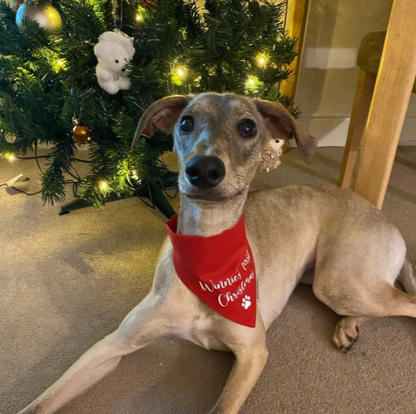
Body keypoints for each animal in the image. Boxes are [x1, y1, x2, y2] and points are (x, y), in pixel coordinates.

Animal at [17, 94, 416, 414]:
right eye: (186, 122)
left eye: (248, 127)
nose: (204, 170)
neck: (208, 252)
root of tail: (385, 218)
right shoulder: (114, 345)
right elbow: (40, 403)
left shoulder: (252, 352)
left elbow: (223, 406)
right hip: (326, 281)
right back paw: (349, 325)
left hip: (335, 281)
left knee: (403, 301)